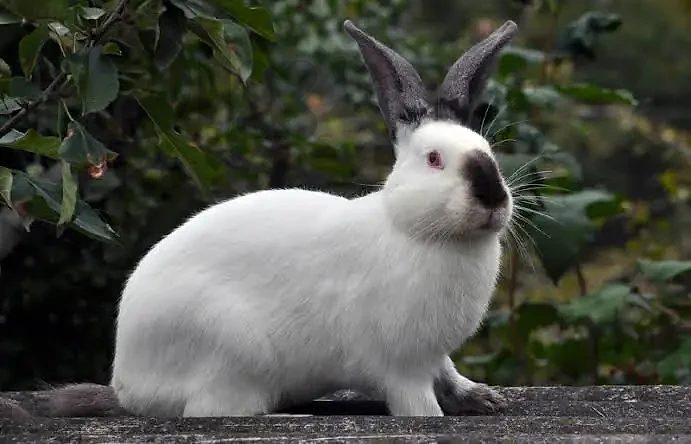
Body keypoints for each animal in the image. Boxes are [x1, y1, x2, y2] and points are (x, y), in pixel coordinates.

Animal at [0, 19, 517, 420]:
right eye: (434, 159)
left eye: (488, 152)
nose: (493, 197)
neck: (416, 230)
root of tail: (128, 387)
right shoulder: (401, 365)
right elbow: (418, 406)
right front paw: (440, 415)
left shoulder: (435, 355)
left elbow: (449, 375)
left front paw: (484, 399)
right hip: (233, 351)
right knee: (209, 411)